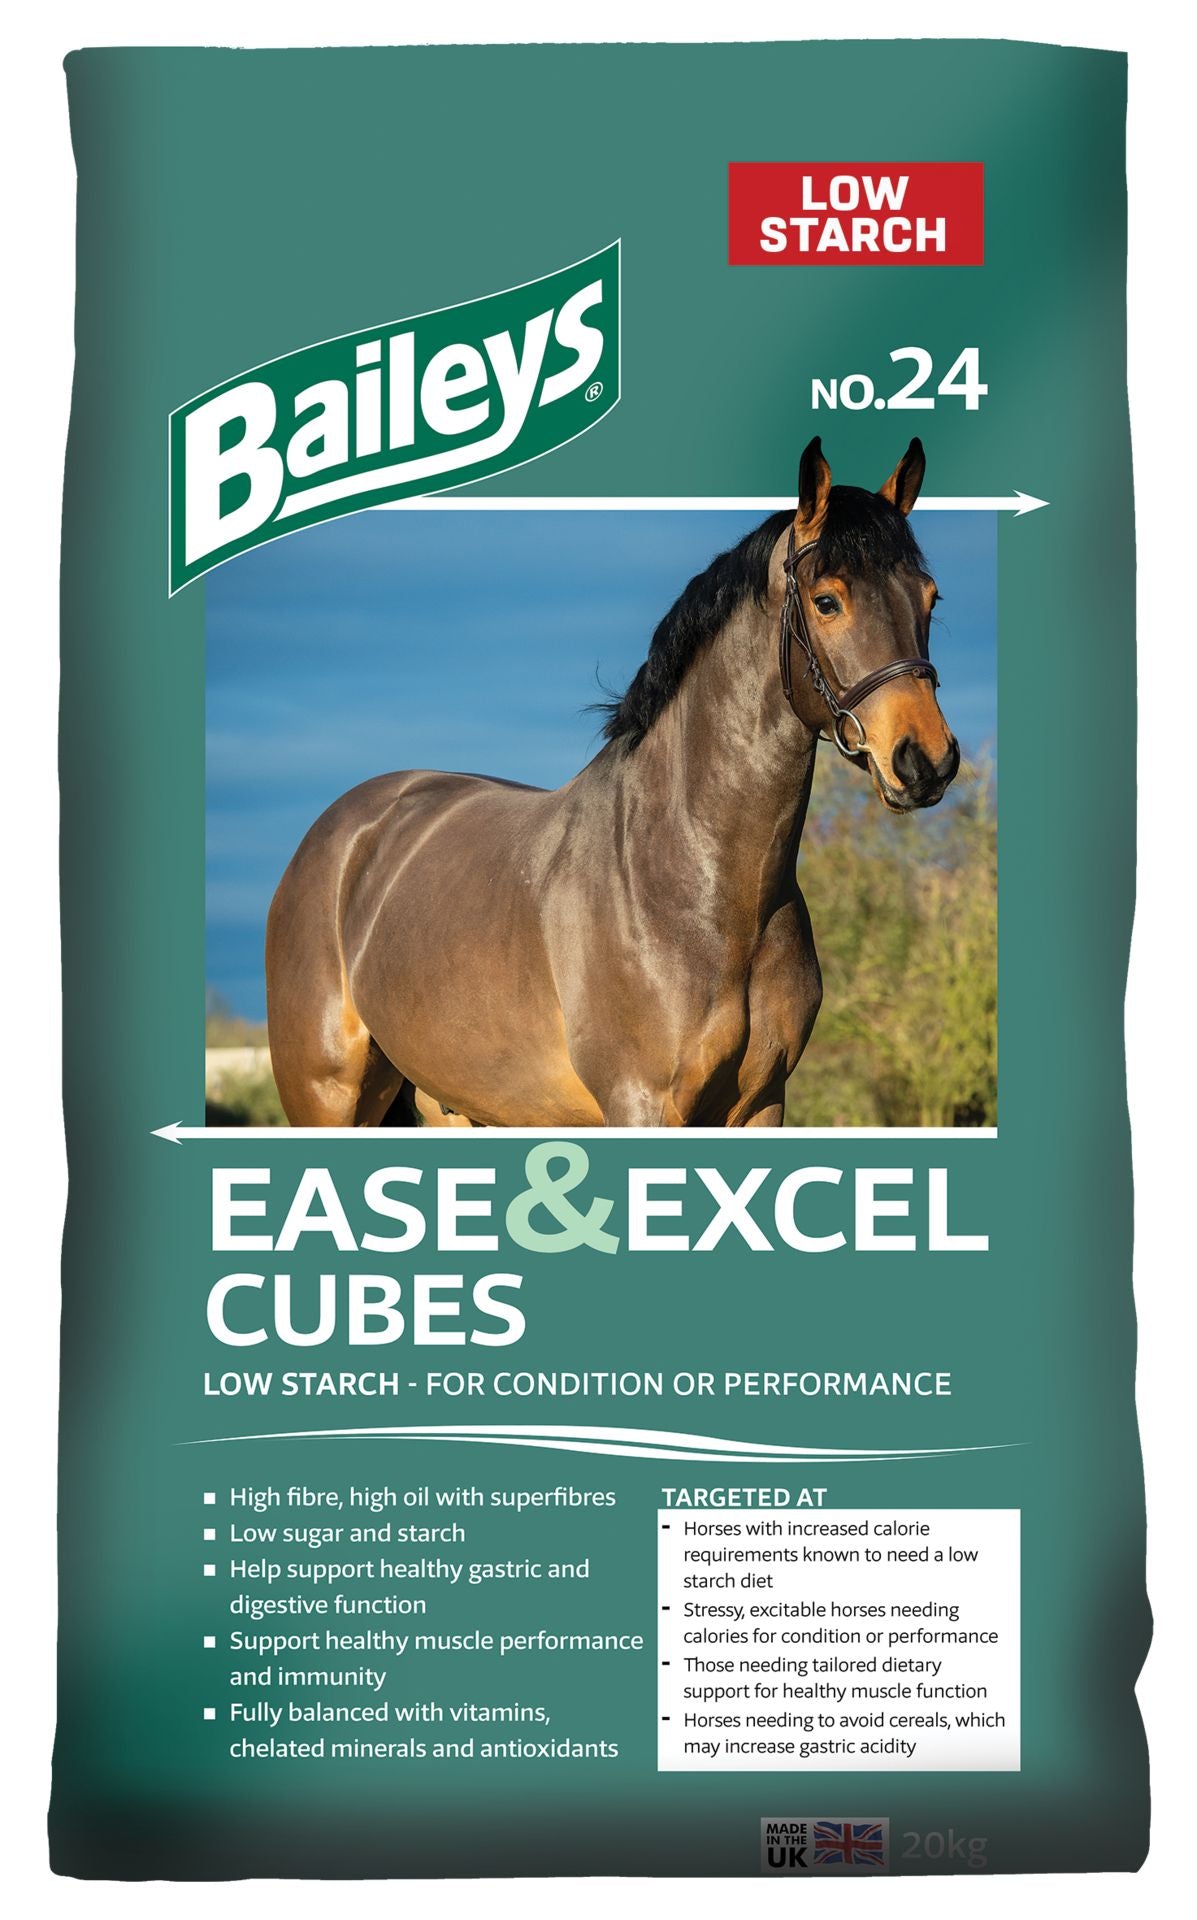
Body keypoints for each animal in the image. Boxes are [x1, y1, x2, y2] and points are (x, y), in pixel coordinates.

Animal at [265, 436, 959, 1128]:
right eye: (827, 601)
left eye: (929, 598)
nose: (926, 760)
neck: (694, 882)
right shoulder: (641, 1103)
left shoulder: (763, 1103)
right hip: (329, 1098)